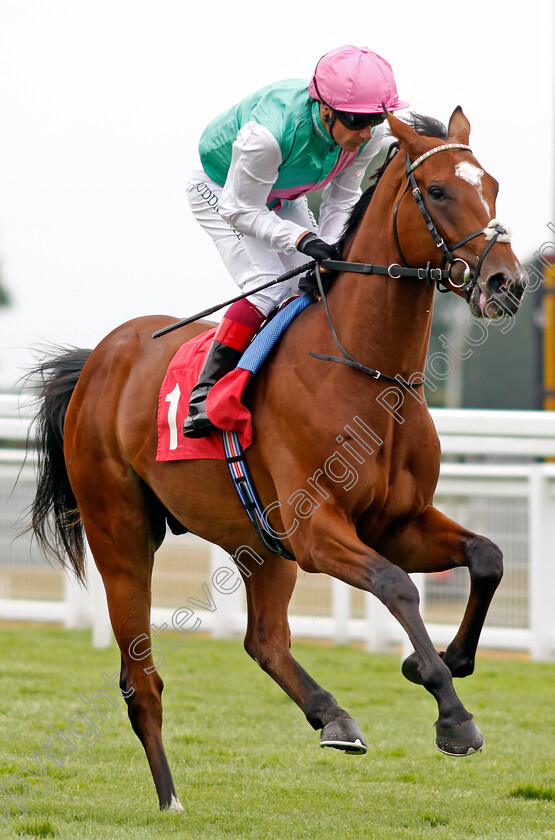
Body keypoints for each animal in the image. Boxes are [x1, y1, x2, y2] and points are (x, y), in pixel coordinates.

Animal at [28, 108, 528, 812]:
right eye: (437, 191)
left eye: (492, 185)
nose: (505, 283)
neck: (365, 372)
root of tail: (100, 357)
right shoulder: (317, 530)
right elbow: (398, 587)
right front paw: (451, 713)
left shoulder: (398, 522)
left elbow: (487, 557)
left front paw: (445, 664)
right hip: (120, 533)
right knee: (140, 675)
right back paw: (171, 799)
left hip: (259, 540)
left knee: (264, 639)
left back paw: (333, 716)